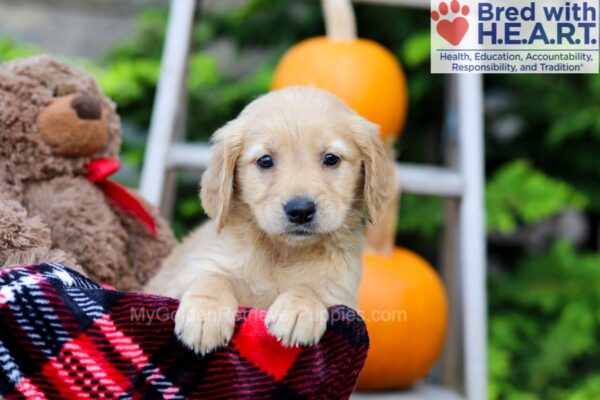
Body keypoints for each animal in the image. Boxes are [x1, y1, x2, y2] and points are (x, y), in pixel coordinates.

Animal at [146, 86, 396, 354]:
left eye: (331, 158)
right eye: (265, 160)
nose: (300, 210)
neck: (282, 253)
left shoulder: (343, 295)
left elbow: (312, 288)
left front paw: (298, 310)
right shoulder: (186, 274)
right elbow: (211, 276)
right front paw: (205, 313)